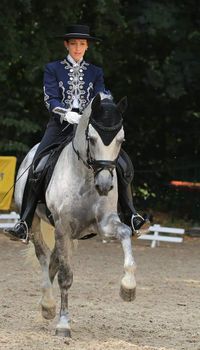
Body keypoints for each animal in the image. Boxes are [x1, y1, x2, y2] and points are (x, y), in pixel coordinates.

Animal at [14, 93, 137, 336]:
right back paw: (48, 305)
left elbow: (126, 232)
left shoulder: (105, 223)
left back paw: (46, 306)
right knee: (44, 257)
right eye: (91, 138)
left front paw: (128, 288)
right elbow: (65, 277)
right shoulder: (63, 226)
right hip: (36, 223)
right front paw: (63, 324)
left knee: (52, 260)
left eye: (121, 140)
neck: (86, 177)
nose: (105, 185)